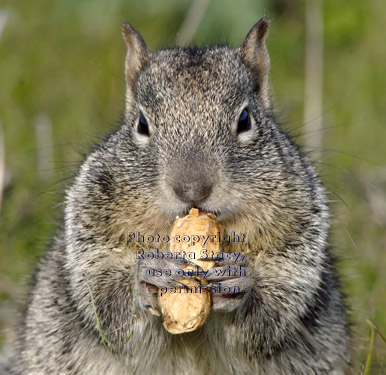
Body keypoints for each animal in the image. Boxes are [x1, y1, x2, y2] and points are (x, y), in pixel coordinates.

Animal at [8, 19, 352, 375]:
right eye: (141, 124)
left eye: (245, 120)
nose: (192, 189)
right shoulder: (90, 239)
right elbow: (106, 307)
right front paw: (147, 275)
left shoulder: (297, 246)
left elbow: (276, 313)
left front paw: (239, 281)